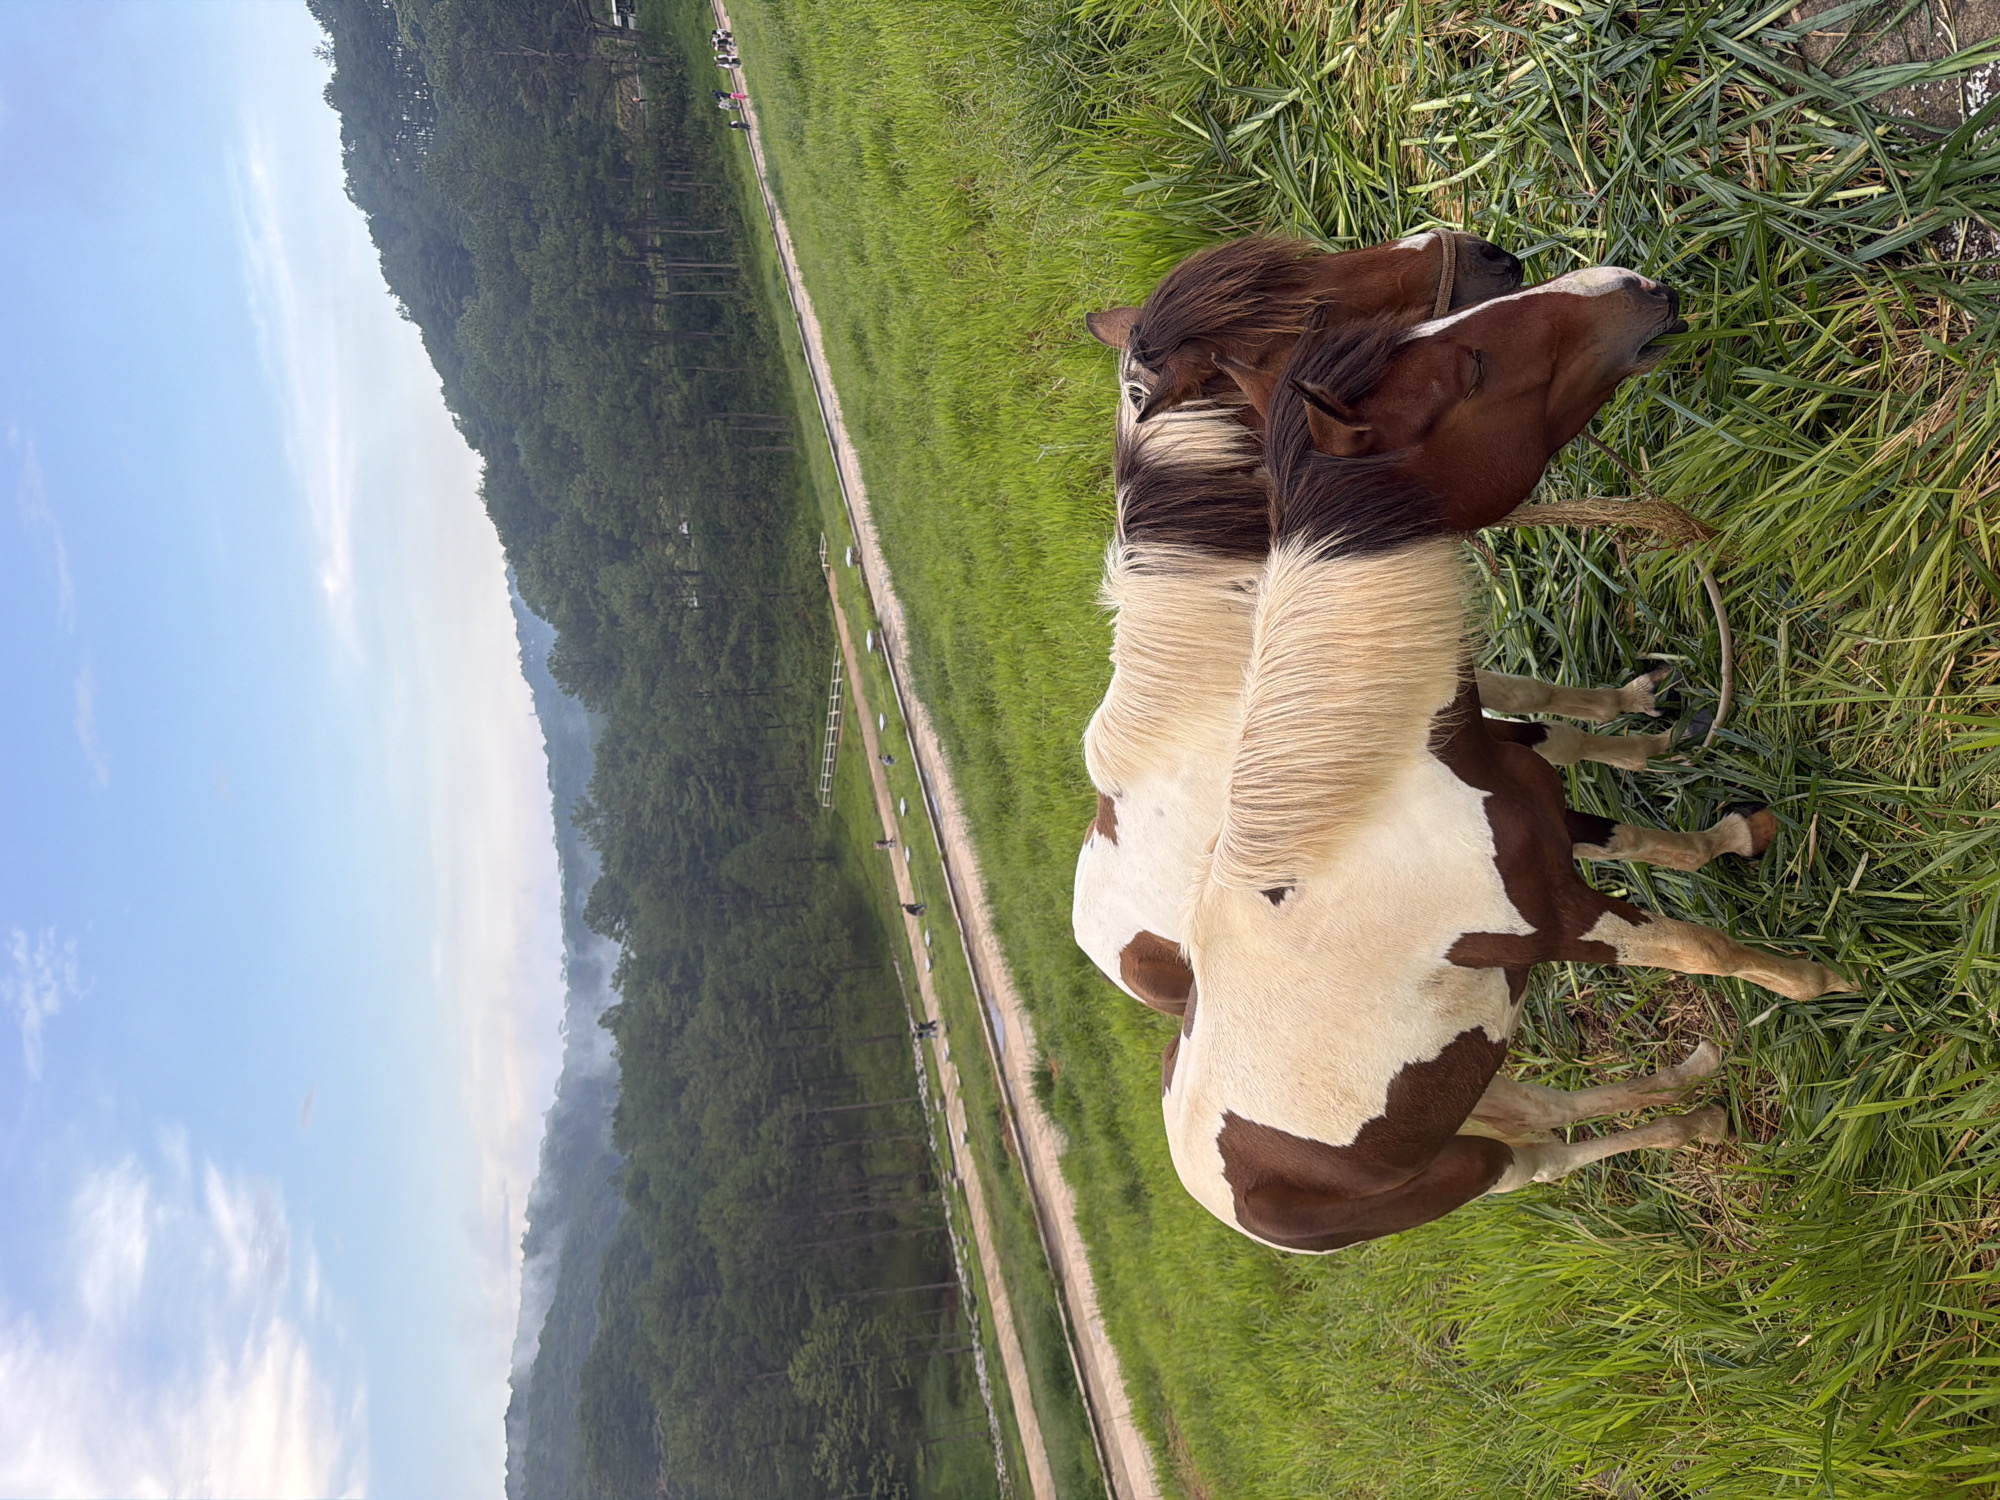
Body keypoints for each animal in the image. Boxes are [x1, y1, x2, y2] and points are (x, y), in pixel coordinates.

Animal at [1161, 268, 1852, 1253]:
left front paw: (1739, 834)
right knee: (1545, 1159)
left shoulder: (1552, 824)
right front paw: (1820, 981)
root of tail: (1215, 1190)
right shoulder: (1561, 922)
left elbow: (1651, 842)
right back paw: (1694, 1117)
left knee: (1551, 1111)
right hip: (1461, 1168)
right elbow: (1701, 948)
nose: (1633, 285)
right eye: (1472, 365)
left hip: (1469, 1095)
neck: (1380, 794)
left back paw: (1695, 1096)